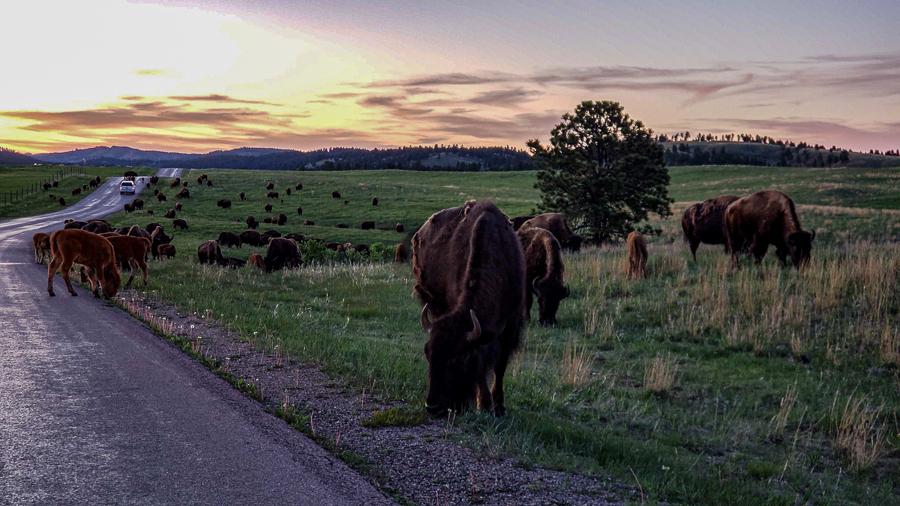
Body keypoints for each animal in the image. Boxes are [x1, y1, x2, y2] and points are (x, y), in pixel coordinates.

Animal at [412, 200, 524, 418]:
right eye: (427, 354)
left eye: (458, 359)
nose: (432, 407)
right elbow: (481, 370)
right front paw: (484, 404)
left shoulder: (510, 326)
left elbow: (499, 367)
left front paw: (499, 407)